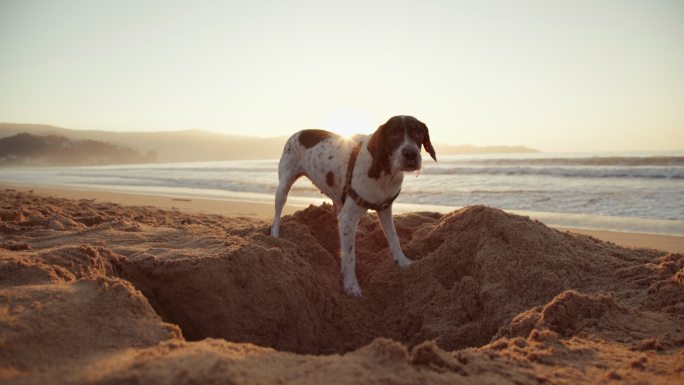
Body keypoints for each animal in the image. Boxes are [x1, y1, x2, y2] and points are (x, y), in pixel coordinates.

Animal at [270, 115, 436, 296]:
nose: (411, 153)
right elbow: (349, 256)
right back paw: (274, 235)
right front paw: (351, 285)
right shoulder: (349, 217)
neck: (382, 169)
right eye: (394, 133)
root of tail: (299, 132)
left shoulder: (385, 208)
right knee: (278, 211)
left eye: (419, 132)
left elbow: (394, 238)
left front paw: (403, 261)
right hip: (283, 186)